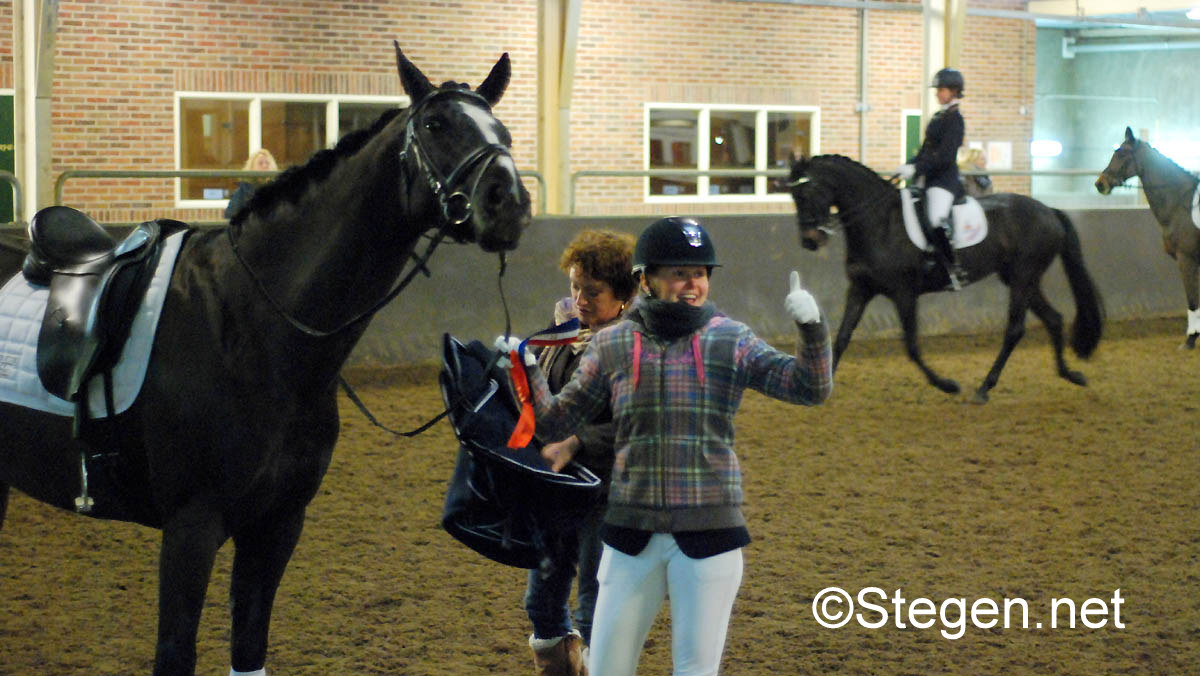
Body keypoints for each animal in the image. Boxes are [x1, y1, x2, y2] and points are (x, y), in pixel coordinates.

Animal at [0, 45, 530, 672]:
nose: (508, 203)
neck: (250, 324)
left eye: (505, 132)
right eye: (435, 125)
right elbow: (175, 651)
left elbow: (250, 648)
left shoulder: (277, 524)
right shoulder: (191, 527)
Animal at [782, 156, 1099, 405]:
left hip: (1023, 277)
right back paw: (1070, 374)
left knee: (1015, 330)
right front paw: (821, 388)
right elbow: (842, 338)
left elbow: (911, 345)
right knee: (1054, 319)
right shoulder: (861, 289)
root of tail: (1049, 211)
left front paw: (946, 385)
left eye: (808, 191)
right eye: (793, 197)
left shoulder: (903, 293)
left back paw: (984, 388)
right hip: (1021, 278)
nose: (810, 241)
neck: (879, 223)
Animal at [1099, 127, 1200, 353]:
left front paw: (1190, 340)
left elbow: (1192, 301)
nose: (1100, 184)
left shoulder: (1187, 259)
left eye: (1122, 153)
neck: (1180, 204)